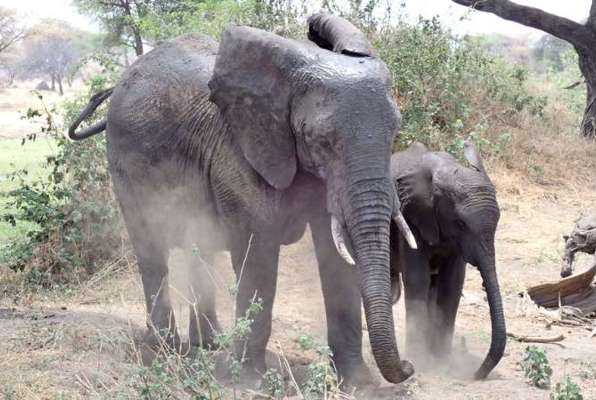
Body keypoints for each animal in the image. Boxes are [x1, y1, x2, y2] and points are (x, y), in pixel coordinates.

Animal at [67, 14, 416, 386]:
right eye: (320, 140)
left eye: (396, 132)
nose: (410, 366)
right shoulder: (237, 152)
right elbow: (258, 256)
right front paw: (251, 383)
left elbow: (337, 256)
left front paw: (359, 384)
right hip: (126, 163)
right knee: (151, 250)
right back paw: (165, 348)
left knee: (200, 248)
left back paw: (210, 344)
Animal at [386, 142, 508, 380]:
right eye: (460, 223)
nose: (476, 374)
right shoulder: (411, 214)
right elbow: (418, 279)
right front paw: (420, 362)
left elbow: (452, 283)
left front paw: (441, 363)